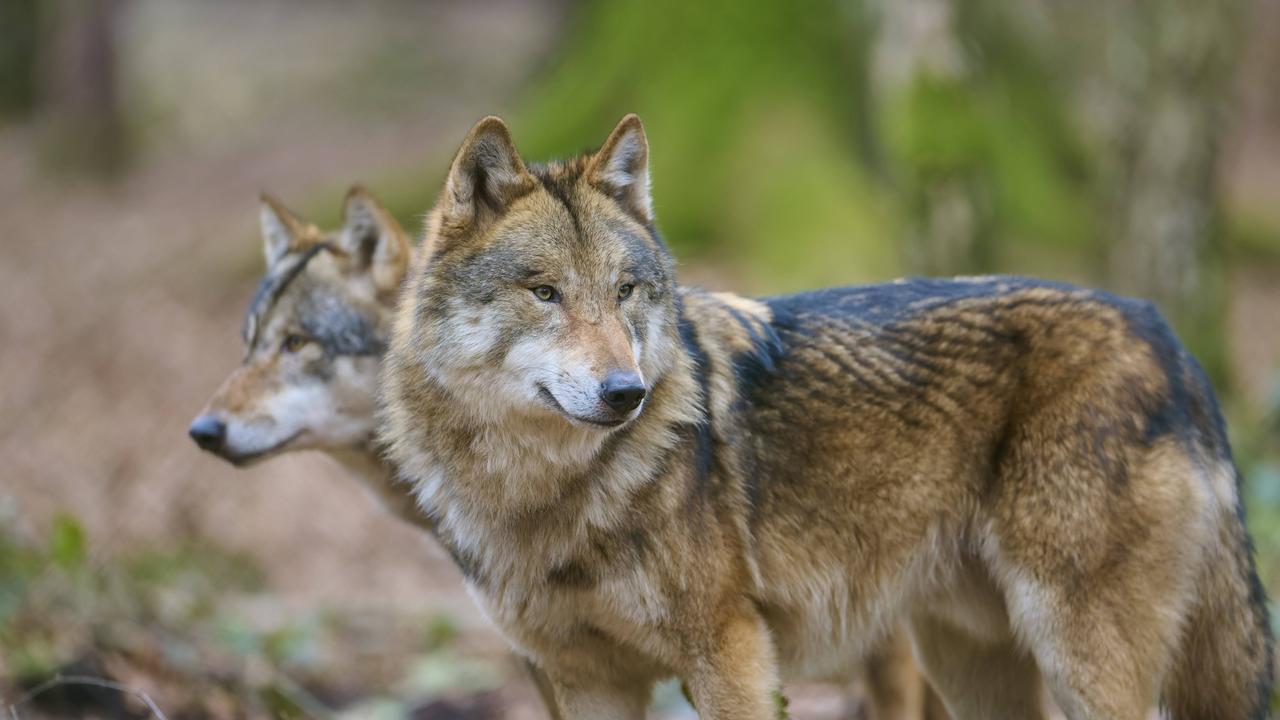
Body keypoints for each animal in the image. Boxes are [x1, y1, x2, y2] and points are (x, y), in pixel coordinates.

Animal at [381, 114, 1273, 720]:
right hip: (971, 658)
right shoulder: (586, 681)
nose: (625, 392)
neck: (545, 497)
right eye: (545, 293)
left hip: (1077, 653)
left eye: (626, 291)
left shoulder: (732, 653)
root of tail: (1168, 337)